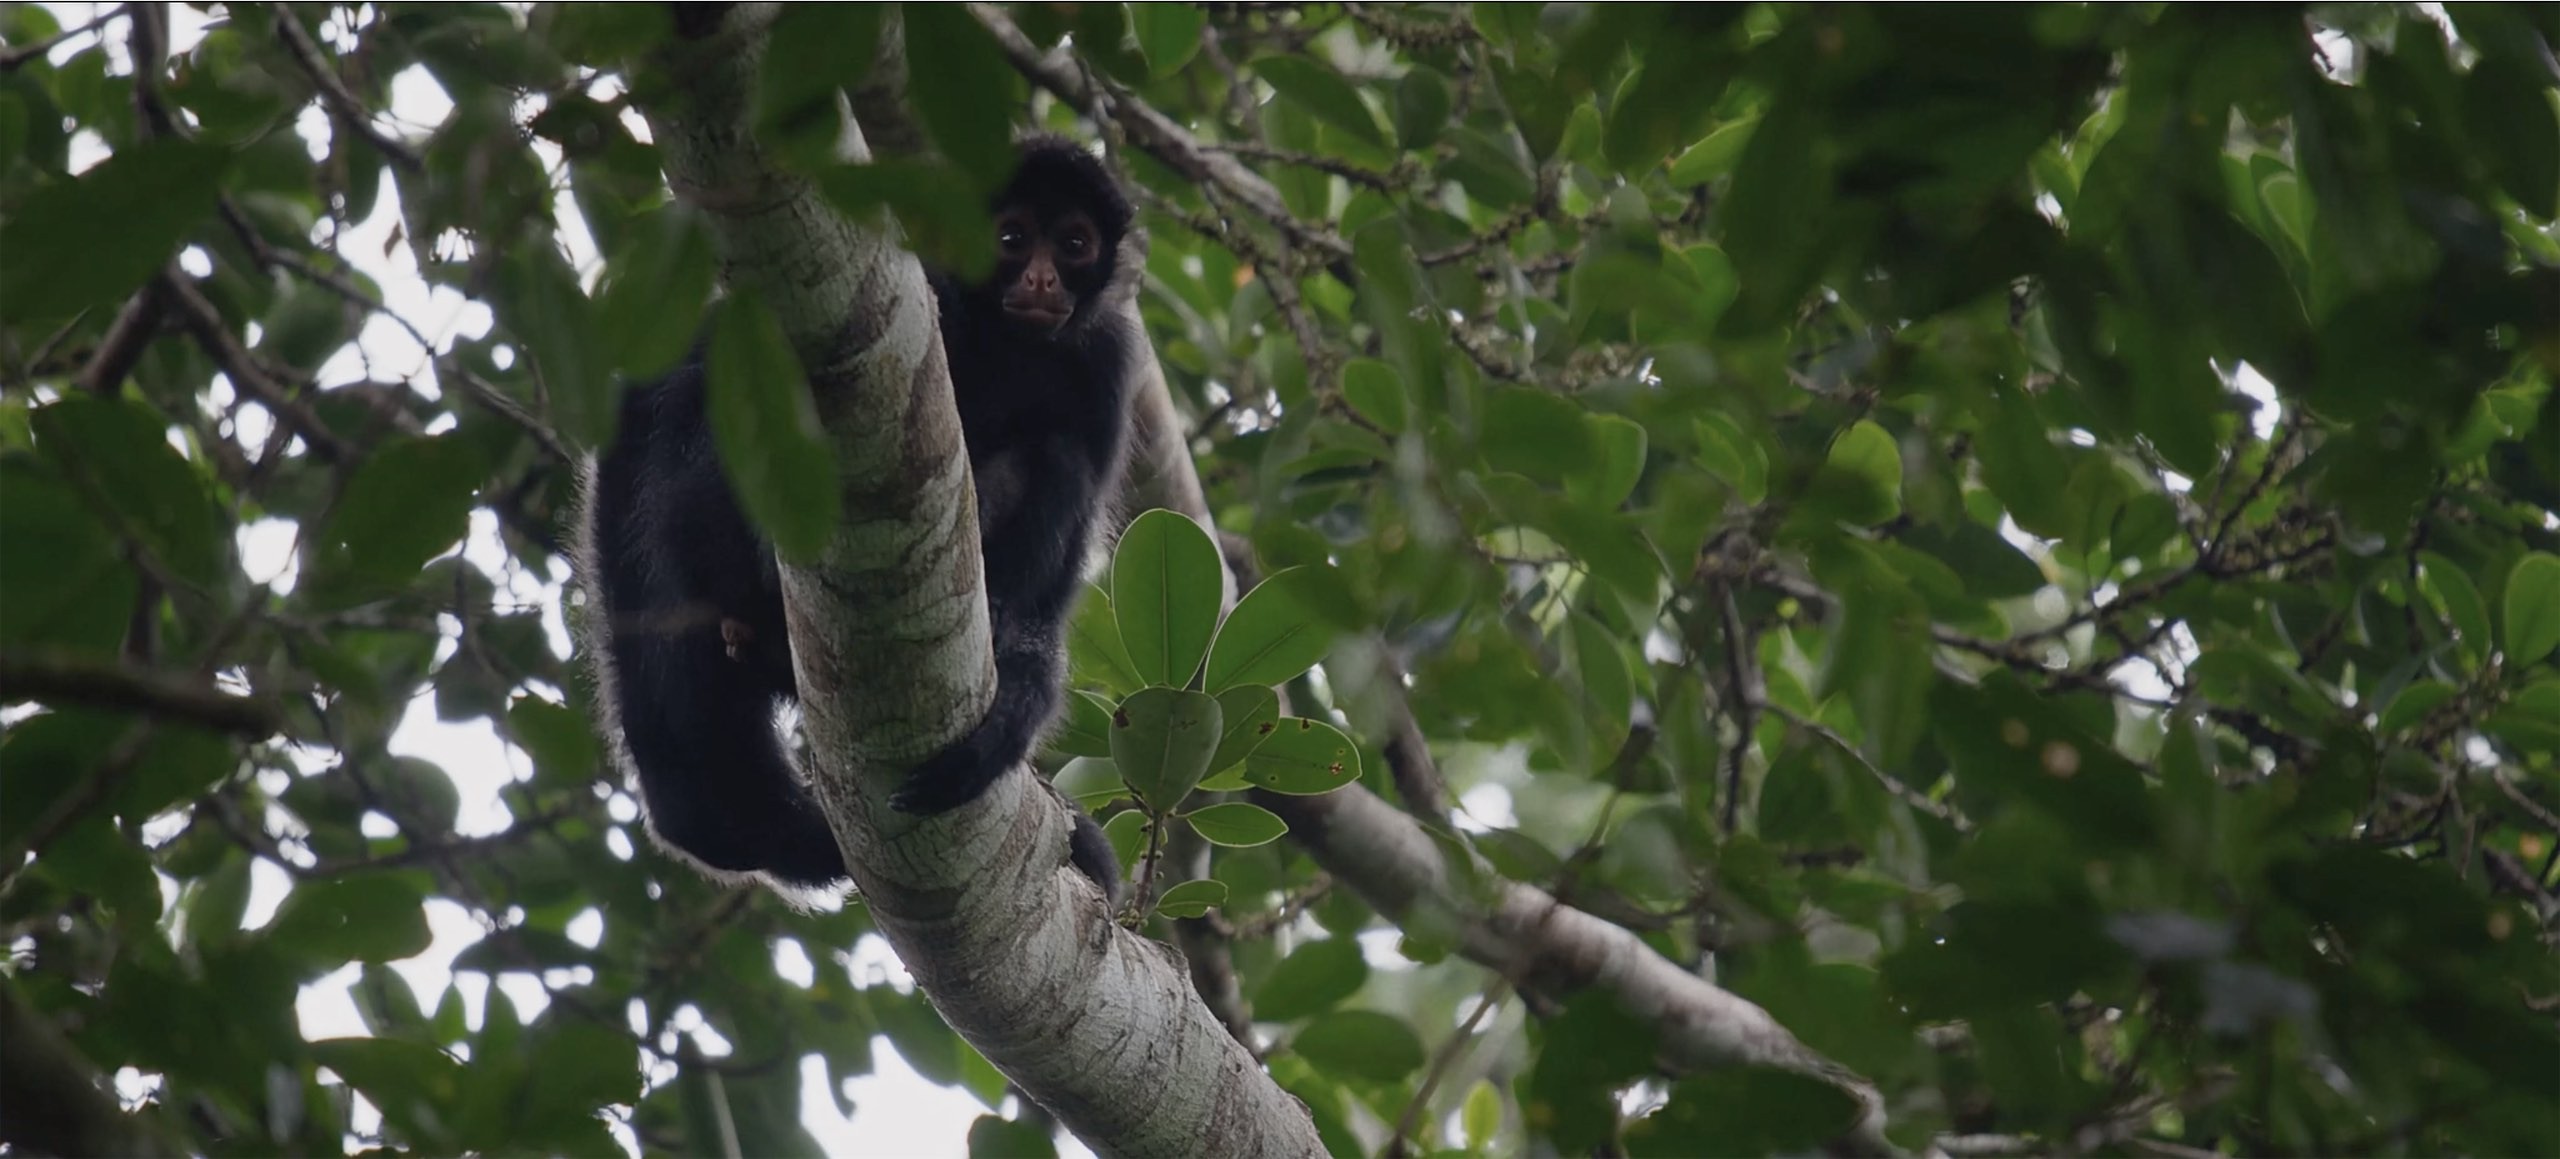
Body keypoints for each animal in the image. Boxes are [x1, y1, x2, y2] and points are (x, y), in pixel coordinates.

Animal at [586, 137, 1146, 905]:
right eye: (1011, 239)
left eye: (1074, 243)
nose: (1040, 278)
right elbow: (669, 377)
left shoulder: (1105, 363)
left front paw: (1023, 685)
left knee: (1053, 455)